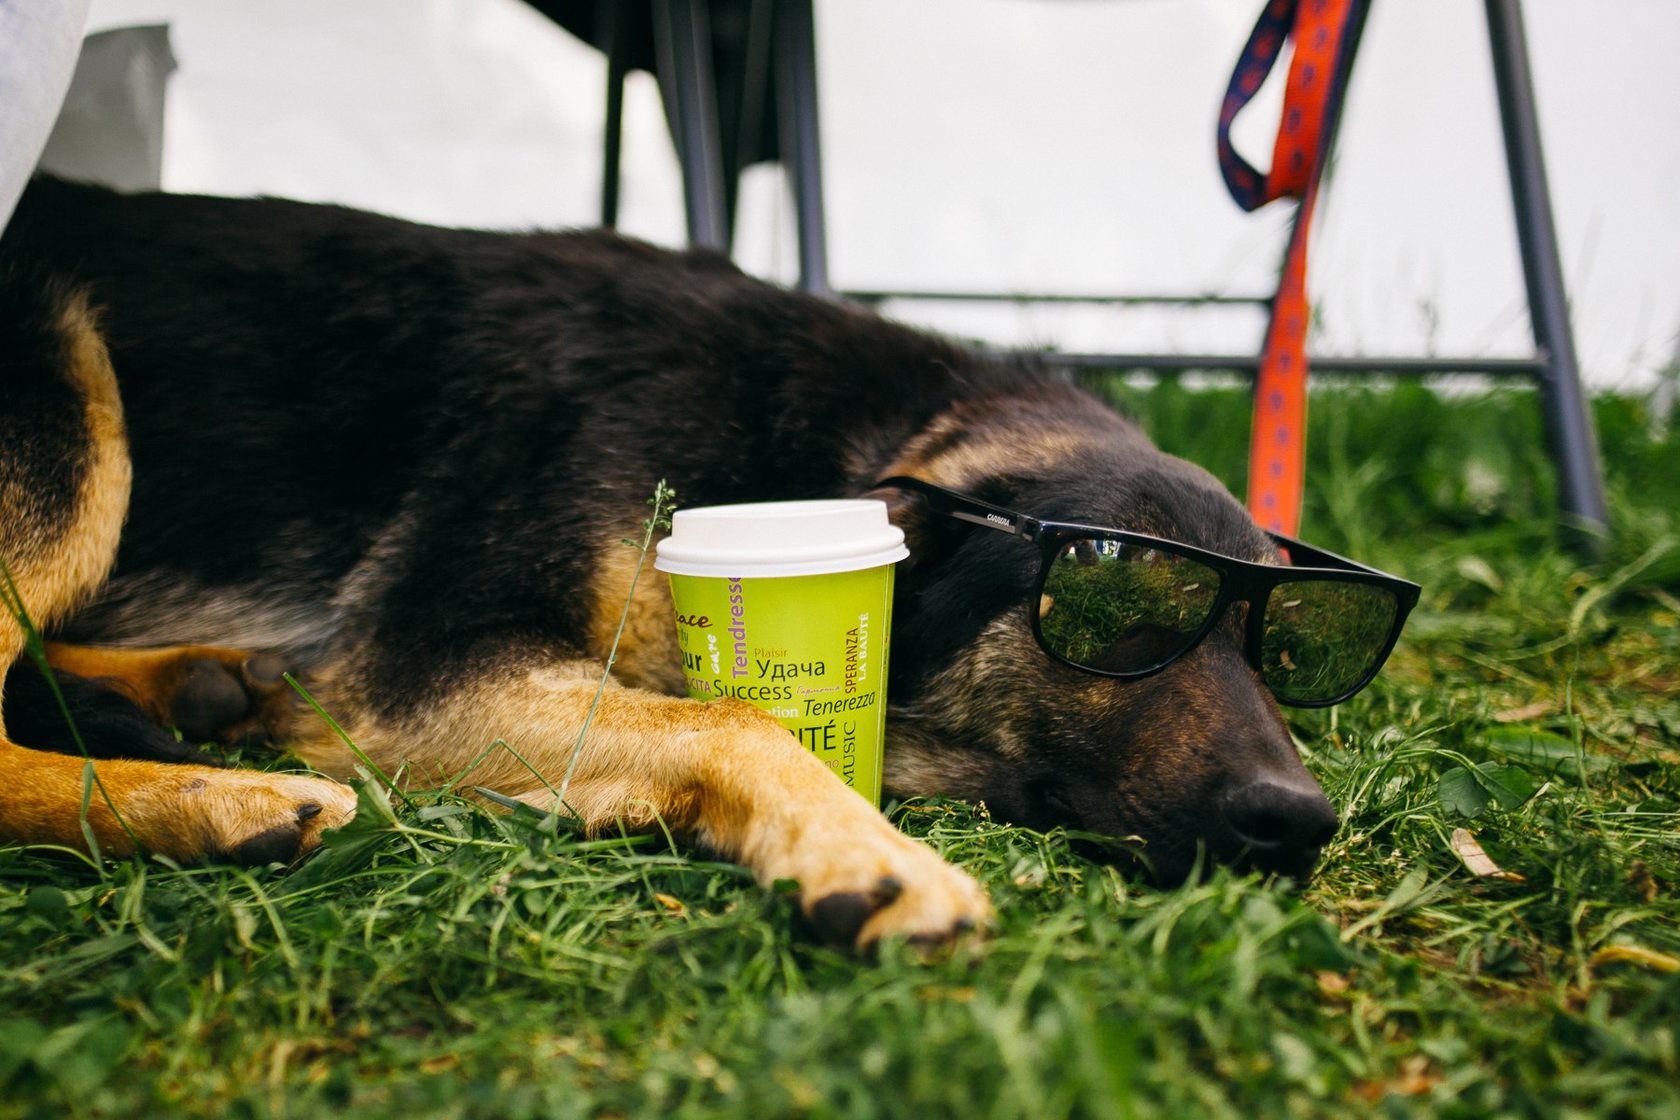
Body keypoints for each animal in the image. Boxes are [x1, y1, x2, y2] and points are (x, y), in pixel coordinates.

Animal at [0, 179, 1417, 953]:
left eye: (1295, 650)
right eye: (1124, 609)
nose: (1299, 822)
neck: (801, 443)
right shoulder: (431, 654)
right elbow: (735, 714)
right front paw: (865, 851)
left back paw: (193, 691)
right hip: (73, 398)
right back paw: (216, 799)